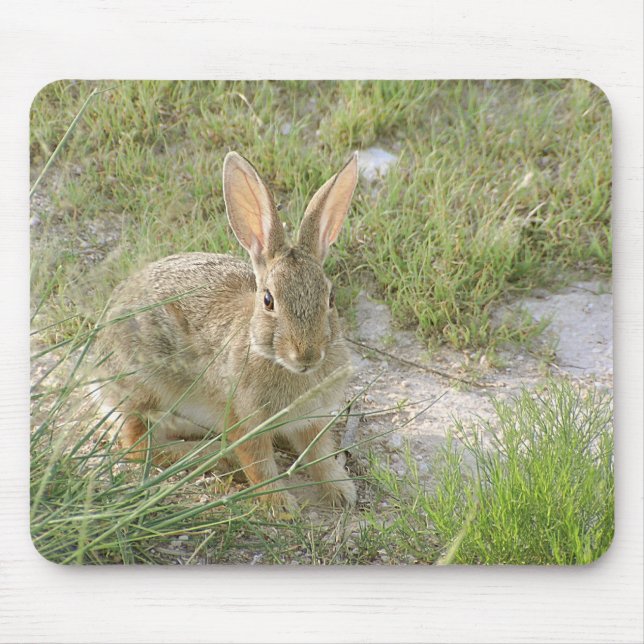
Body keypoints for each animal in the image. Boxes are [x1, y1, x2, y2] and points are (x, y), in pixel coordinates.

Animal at [94, 151, 359, 510]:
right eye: (268, 300)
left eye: (330, 298)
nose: (306, 354)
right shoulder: (243, 419)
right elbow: (259, 464)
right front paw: (281, 506)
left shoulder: (312, 418)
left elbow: (319, 454)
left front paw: (342, 491)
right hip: (145, 384)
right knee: (138, 445)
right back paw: (212, 456)